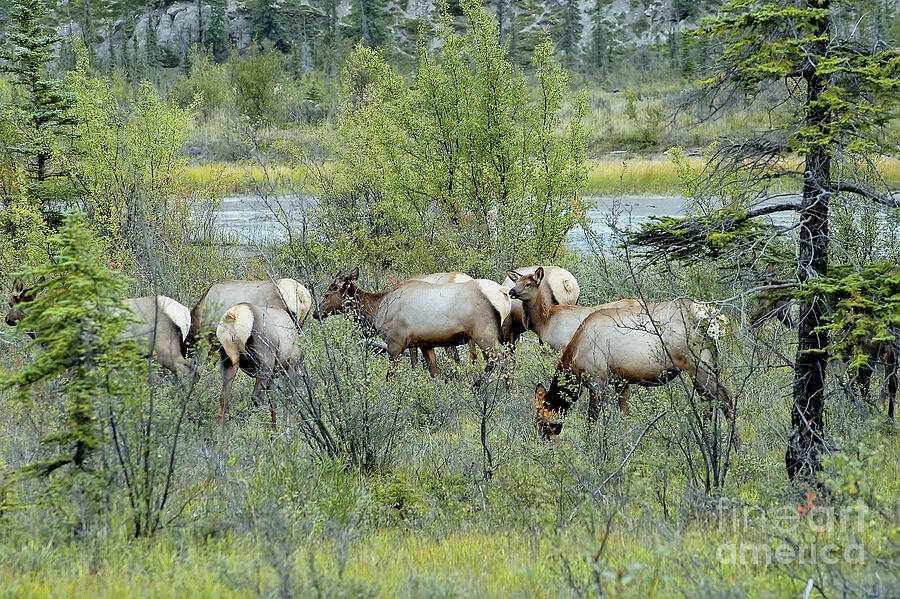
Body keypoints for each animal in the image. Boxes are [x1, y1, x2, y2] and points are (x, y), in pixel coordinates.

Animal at [216, 302, 304, 434]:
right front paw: (287, 433)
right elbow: (288, 400)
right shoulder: (290, 367)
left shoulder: (273, 376)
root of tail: (233, 316)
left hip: (230, 363)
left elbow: (274, 401)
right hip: (265, 362)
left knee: (223, 400)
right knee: (256, 398)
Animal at [312, 268, 510, 376]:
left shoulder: (396, 343)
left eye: (327, 294)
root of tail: (504, 294)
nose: (316, 313)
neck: (378, 309)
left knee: (502, 361)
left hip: (485, 335)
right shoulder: (425, 343)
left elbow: (392, 376)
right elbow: (433, 372)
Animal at [532, 298, 736, 436]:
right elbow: (625, 416)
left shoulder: (597, 381)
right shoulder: (621, 381)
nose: (541, 438)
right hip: (703, 366)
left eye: (540, 417)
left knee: (725, 397)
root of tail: (718, 319)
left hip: (698, 363)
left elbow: (591, 423)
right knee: (709, 403)